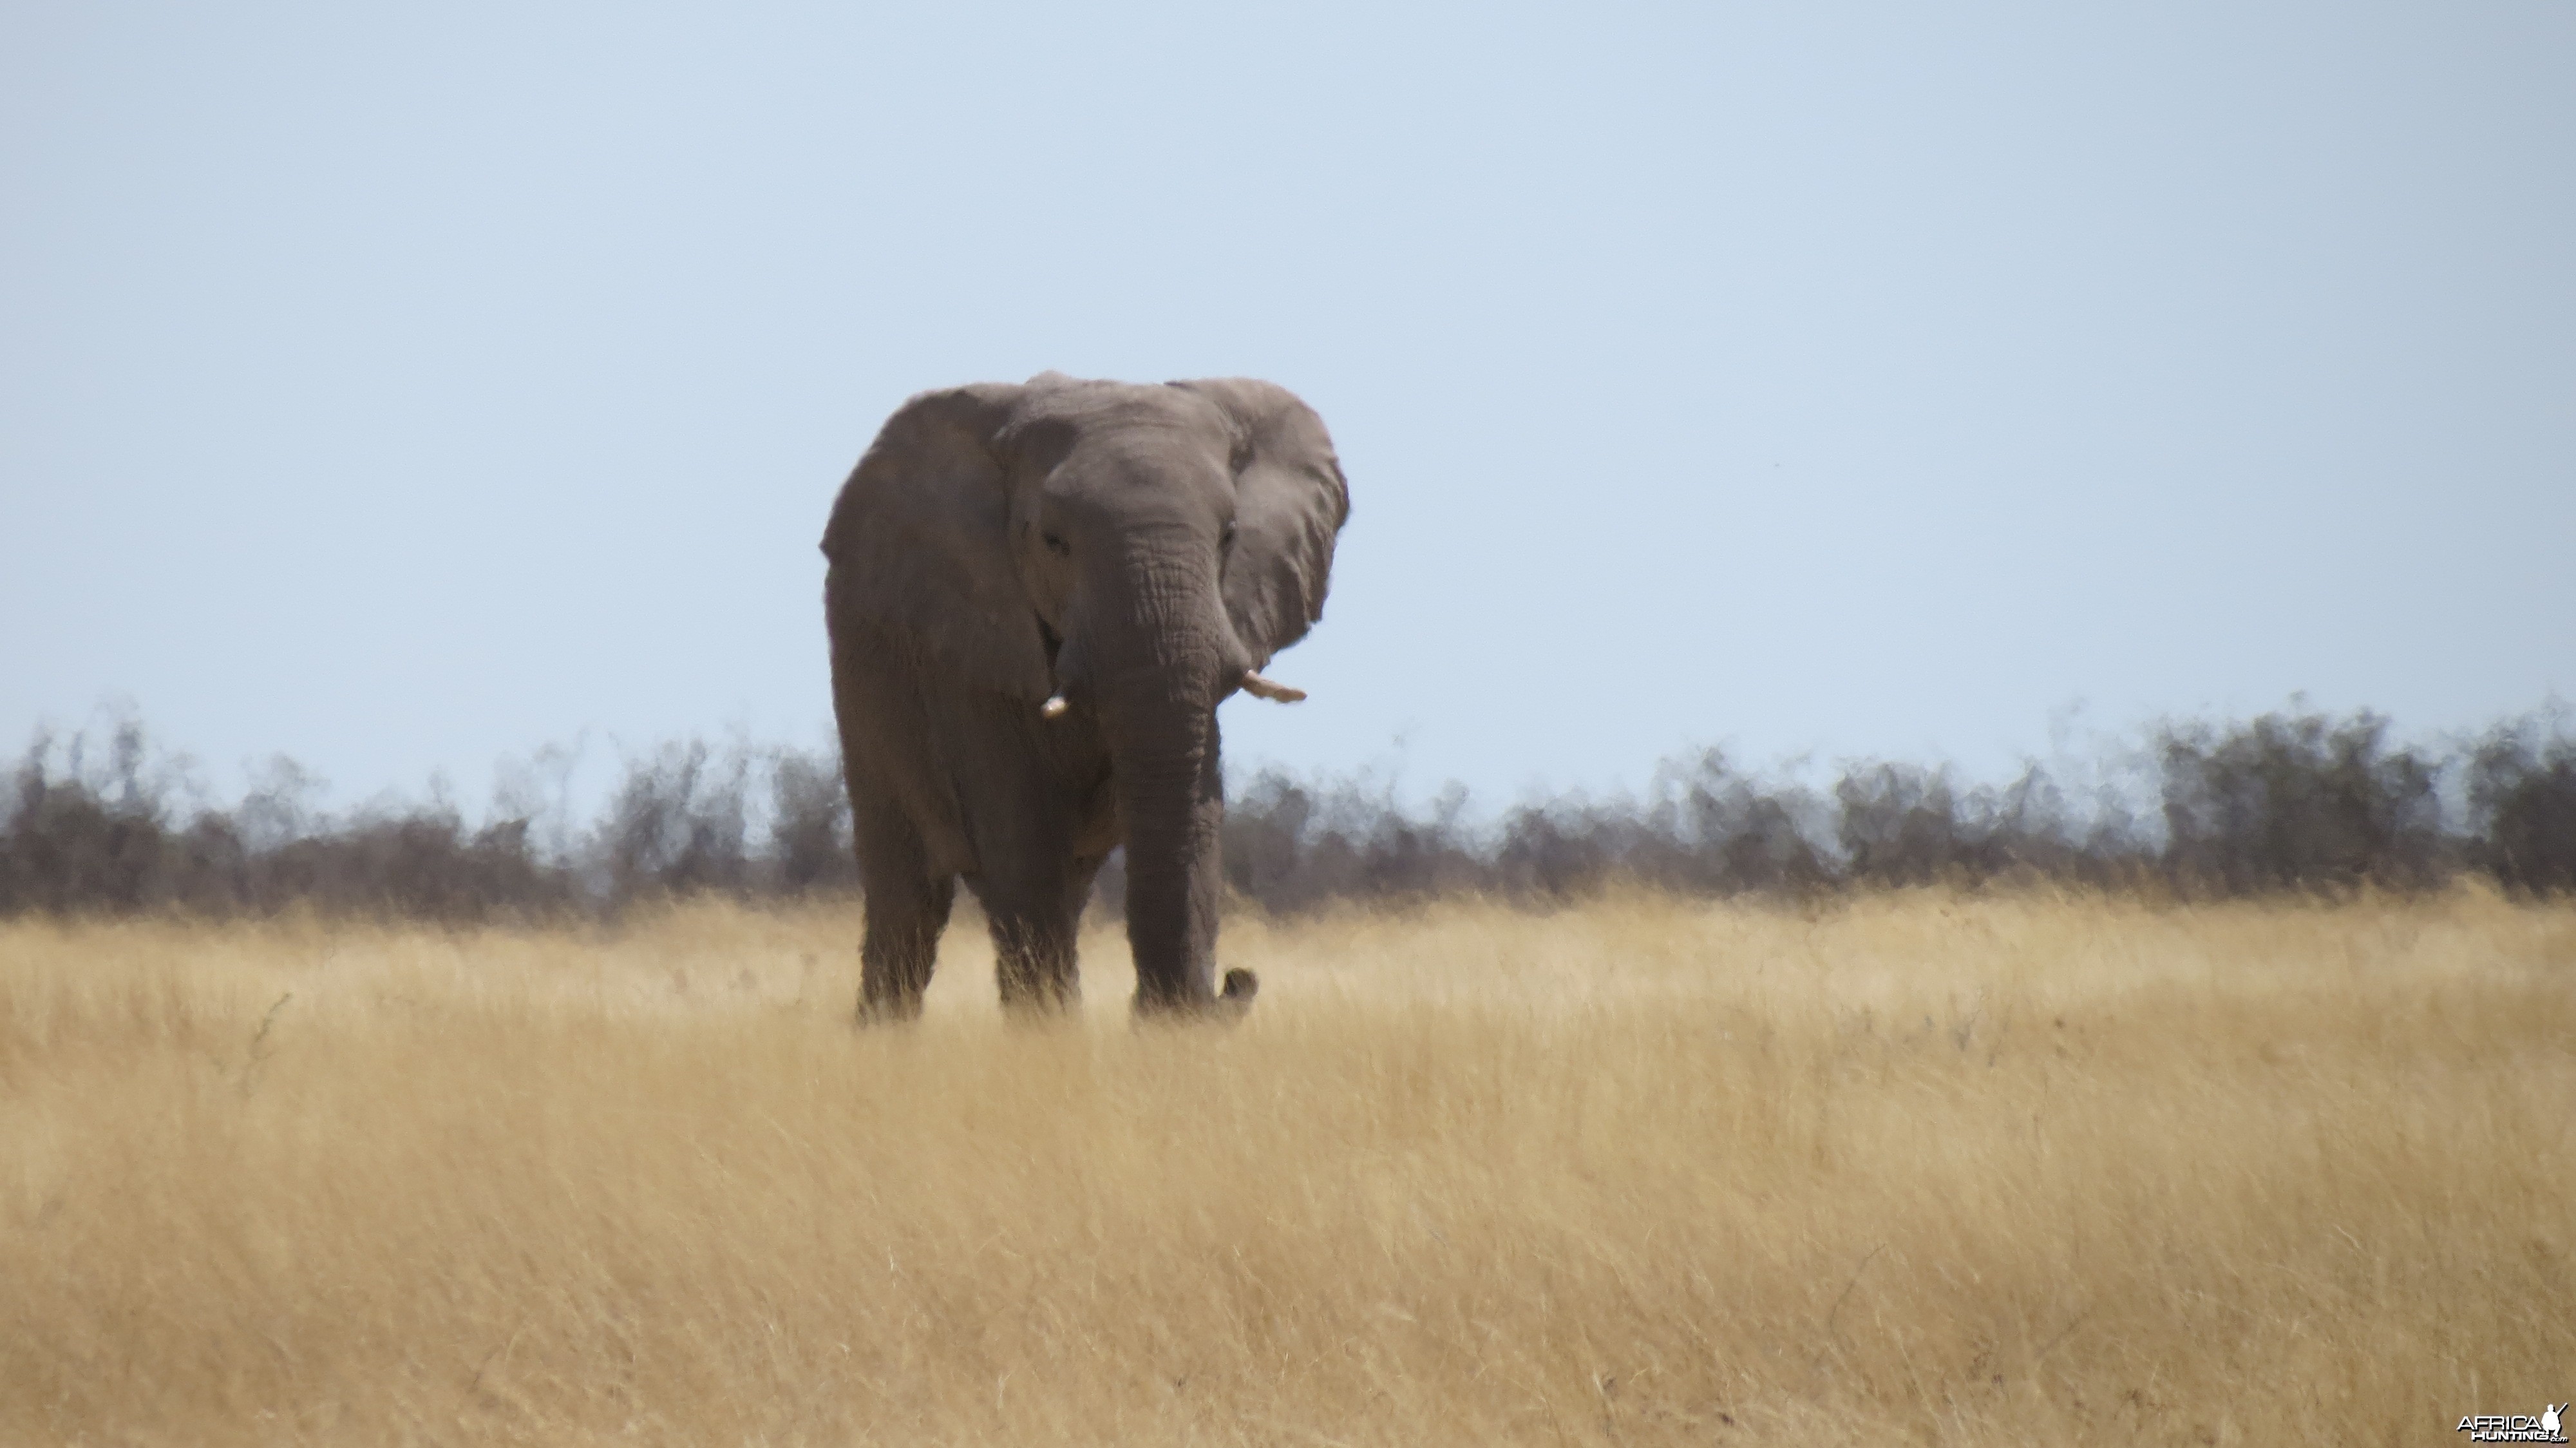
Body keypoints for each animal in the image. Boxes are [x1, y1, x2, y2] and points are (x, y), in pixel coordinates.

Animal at [824, 371, 1350, 1015]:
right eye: (1054, 542)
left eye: (1229, 536)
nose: (1238, 979)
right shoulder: (971, 651)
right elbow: (1021, 840)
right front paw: (1053, 1035)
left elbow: (1198, 817)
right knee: (909, 896)